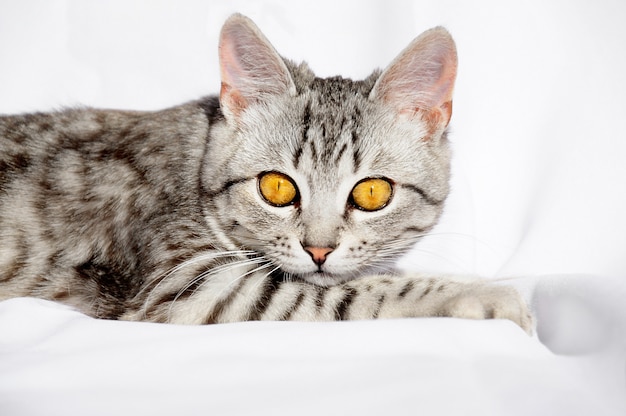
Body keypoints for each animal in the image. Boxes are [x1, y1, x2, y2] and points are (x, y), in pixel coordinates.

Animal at [0, 13, 532, 332]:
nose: (319, 250)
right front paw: (487, 294)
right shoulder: (192, 286)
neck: (196, 158)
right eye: (276, 188)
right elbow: (355, 291)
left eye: (372, 194)